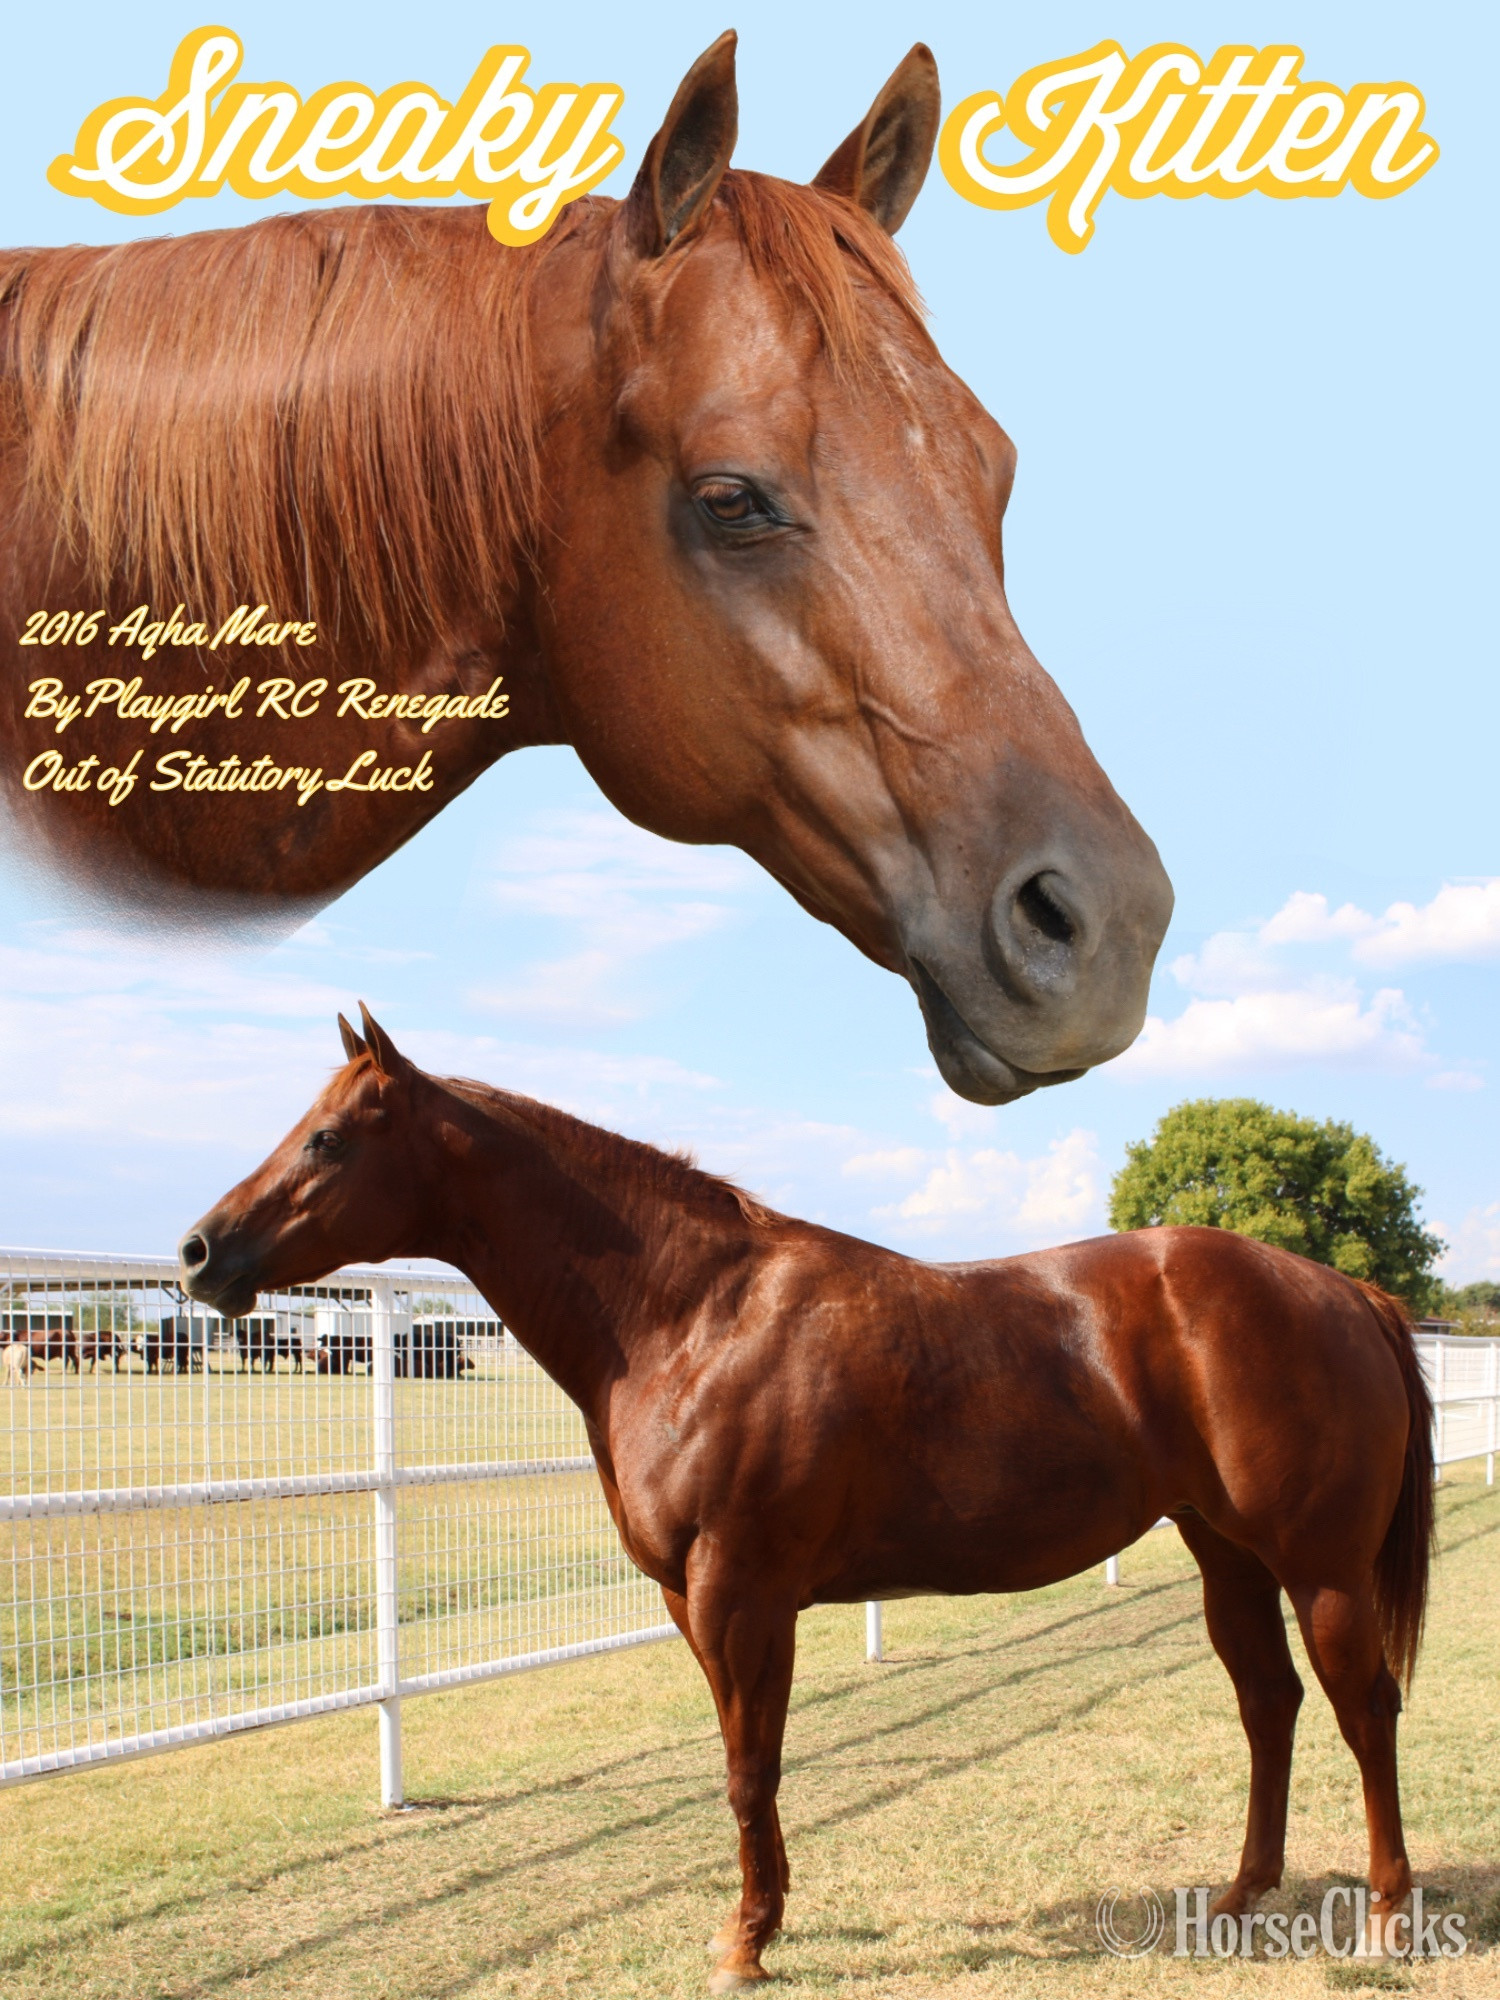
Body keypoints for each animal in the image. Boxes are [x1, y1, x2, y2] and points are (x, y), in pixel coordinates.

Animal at [179, 1007, 1435, 1988]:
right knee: (1269, 1701)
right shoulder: (701, 1601)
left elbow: (749, 1767)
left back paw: (1383, 1914)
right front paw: (765, 1916)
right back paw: (1239, 1893)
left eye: (329, 1135)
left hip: (1320, 1568)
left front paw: (745, 1941)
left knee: (1364, 1705)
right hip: (1227, 1554)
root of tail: (1345, 1292)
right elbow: (751, 1762)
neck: (691, 1314)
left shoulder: (740, 1593)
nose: (199, 1251)